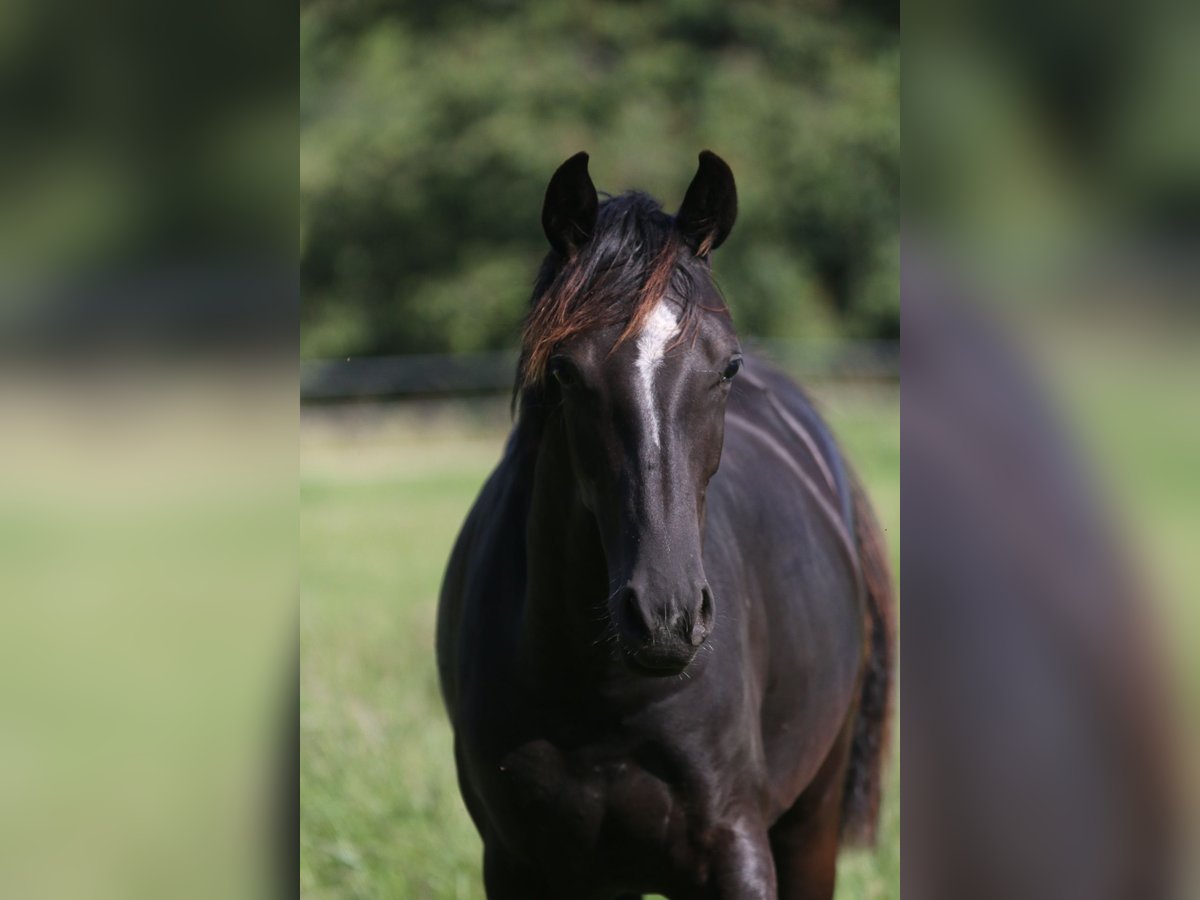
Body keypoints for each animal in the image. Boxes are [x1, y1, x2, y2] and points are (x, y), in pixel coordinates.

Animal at [439, 151, 892, 897]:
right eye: (564, 372)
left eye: (727, 365)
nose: (667, 618)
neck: (604, 699)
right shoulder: (518, 864)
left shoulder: (735, 851)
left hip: (812, 822)